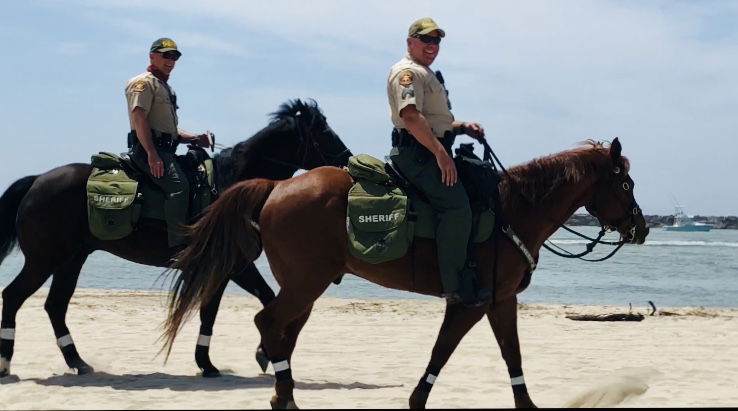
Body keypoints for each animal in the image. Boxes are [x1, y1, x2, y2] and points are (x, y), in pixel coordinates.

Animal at [0, 98, 350, 378]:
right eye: (323, 131)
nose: (346, 159)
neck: (230, 184)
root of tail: (37, 181)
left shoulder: (223, 270)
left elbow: (212, 313)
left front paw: (209, 363)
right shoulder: (235, 266)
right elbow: (262, 299)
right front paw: (260, 353)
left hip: (70, 260)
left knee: (55, 305)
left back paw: (78, 362)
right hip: (44, 260)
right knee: (14, 296)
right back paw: (7, 363)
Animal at [164, 138, 648, 408]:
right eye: (626, 184)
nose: (641, 227)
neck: (513, 209)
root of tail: (277, 186)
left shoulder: (493, 301)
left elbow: (494, 354)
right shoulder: (479, 302)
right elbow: (455, 351)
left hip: (303, 288)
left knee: (282, 330)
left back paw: (281, 391)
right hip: (304, 285)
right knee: (268, 322)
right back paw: (285, 395)